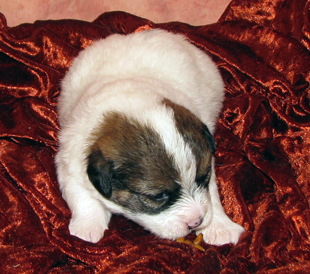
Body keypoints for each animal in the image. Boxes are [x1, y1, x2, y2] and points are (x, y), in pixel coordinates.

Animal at [55, 28, 245, 245]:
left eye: (202, 178)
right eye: (159, 196)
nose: (196, 222)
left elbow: (212, 194)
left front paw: (220, 227)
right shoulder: (69, 163)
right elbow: (83, 198)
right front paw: (87, 229)